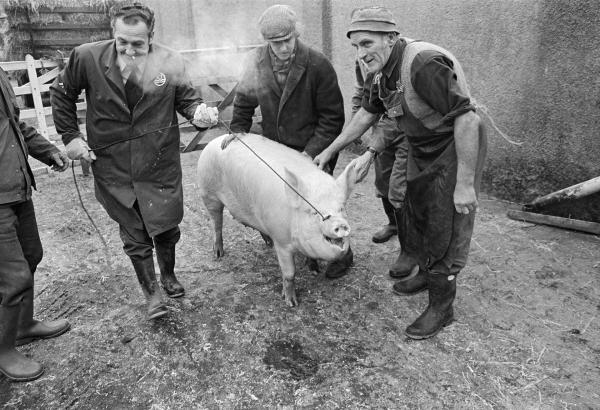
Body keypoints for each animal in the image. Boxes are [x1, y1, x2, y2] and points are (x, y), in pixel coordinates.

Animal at [197, 133, 356, 306]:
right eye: (314, 212)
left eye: (341, 208)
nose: (340, 225)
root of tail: (216, 140)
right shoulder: (282, 240)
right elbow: (289, 273)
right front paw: (291, 303)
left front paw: (314, 270)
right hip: (208, 192)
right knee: (216, 224)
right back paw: (218, 254)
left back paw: (268, 242)